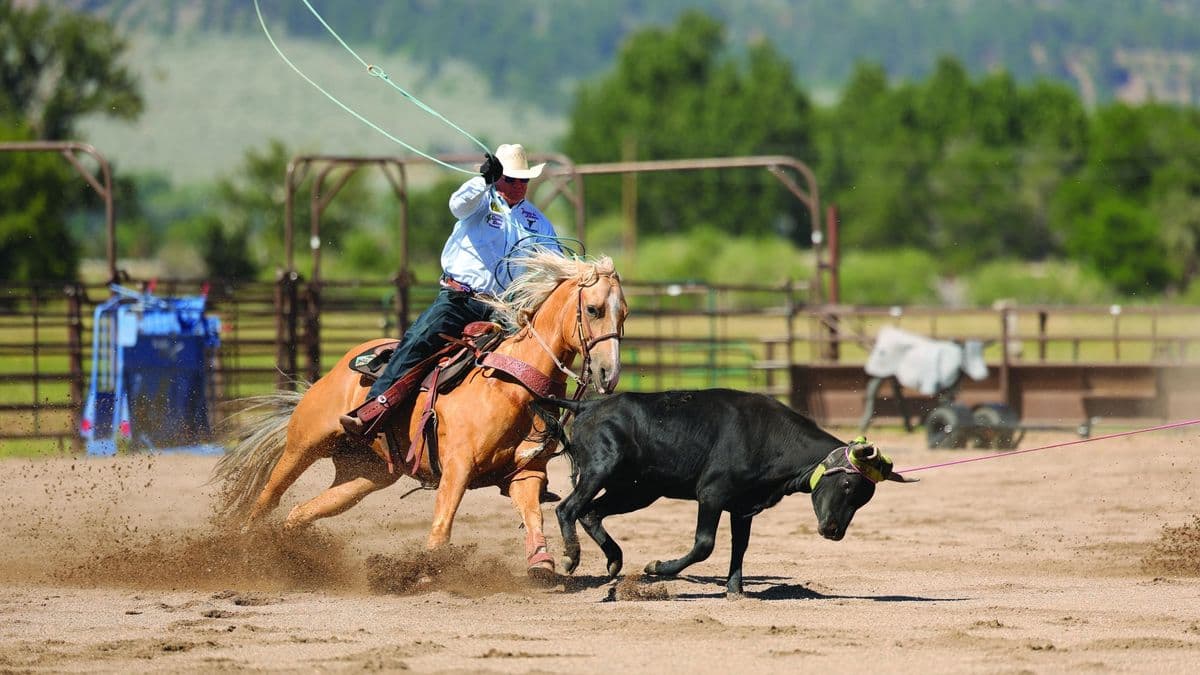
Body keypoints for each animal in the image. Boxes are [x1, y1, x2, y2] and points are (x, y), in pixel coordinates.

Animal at [212, 251, 628, 579]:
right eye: (593, 309)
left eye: (622, 314)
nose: (609, 374)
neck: (510, 385)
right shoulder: (458, 466)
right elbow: (443, 522)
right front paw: (427, 570)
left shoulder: (526, 474)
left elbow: (532, 516)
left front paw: (542, 562)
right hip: (304, 444)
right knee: (269, 496)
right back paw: (242, 550)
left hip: (364, 475)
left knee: (301, 511)